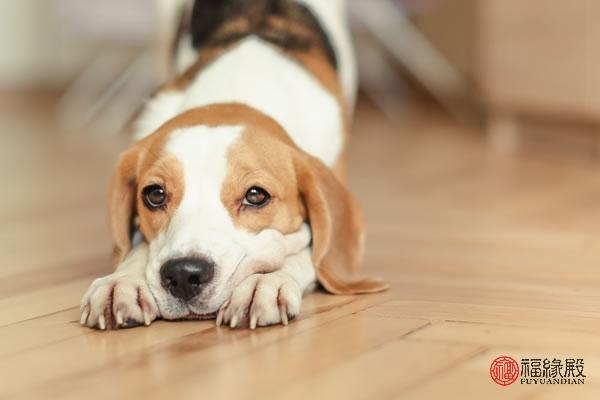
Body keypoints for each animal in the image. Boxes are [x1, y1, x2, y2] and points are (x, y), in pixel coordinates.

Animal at [79, 0, 386, 332]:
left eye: (256, 195)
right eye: (155, 194)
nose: (184, 274)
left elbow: (304, 248)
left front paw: (266, 283)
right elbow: (138, 248)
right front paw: (122, 280)